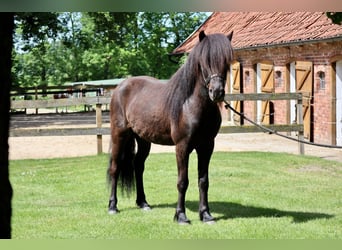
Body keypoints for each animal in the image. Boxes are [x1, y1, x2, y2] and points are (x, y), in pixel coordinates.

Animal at [108, 30, 234, 224]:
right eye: (204, 61)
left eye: (226, 61)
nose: (217, 92)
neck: (190, 104)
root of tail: (120, 86)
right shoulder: (182, 147)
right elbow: (182, 182)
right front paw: (181, 216)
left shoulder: (207, 146)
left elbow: (203, 181)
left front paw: (205, 214)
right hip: (119, 135)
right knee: (115, 168)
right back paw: (113, 206)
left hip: (143, 140)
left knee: (138, 166)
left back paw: (143, 203)